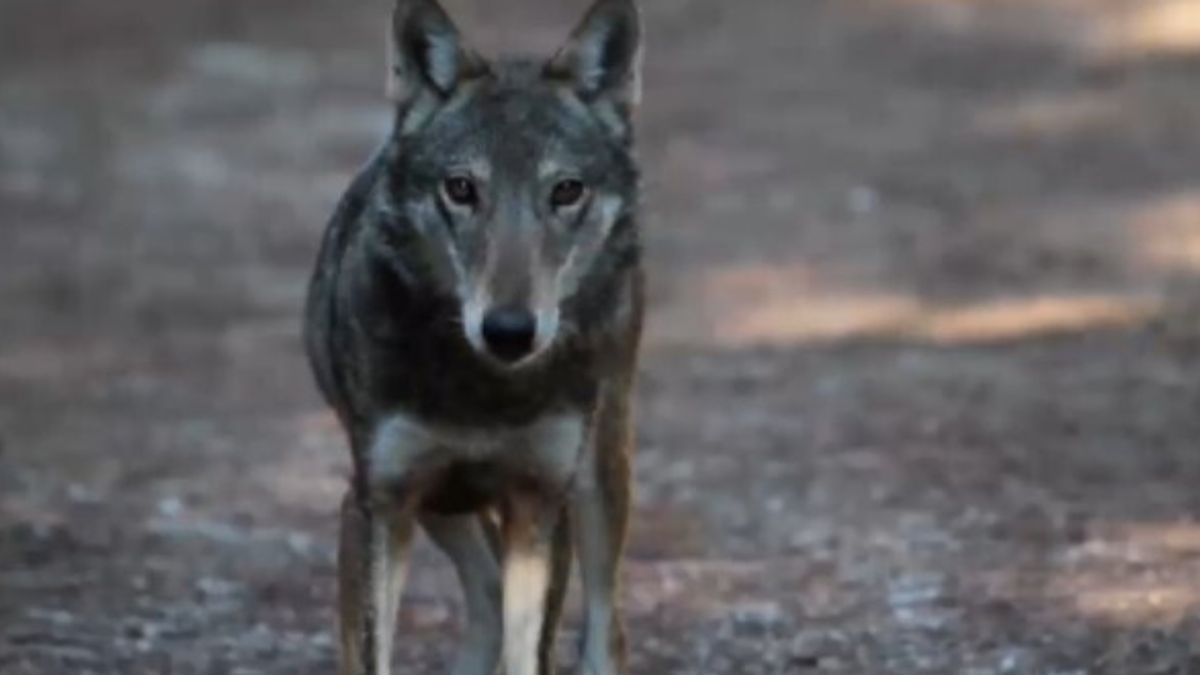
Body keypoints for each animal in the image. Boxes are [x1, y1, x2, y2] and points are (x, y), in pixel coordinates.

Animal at [302, 1, 644, 674]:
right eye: (460, 189)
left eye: (566, 190)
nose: (509, 331)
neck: (483, 390)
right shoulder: (377, 503)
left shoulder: (539, 504)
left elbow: (530, 652)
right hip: (443, 504)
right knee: (485, 589)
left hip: (595, 476)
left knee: (605, 628)